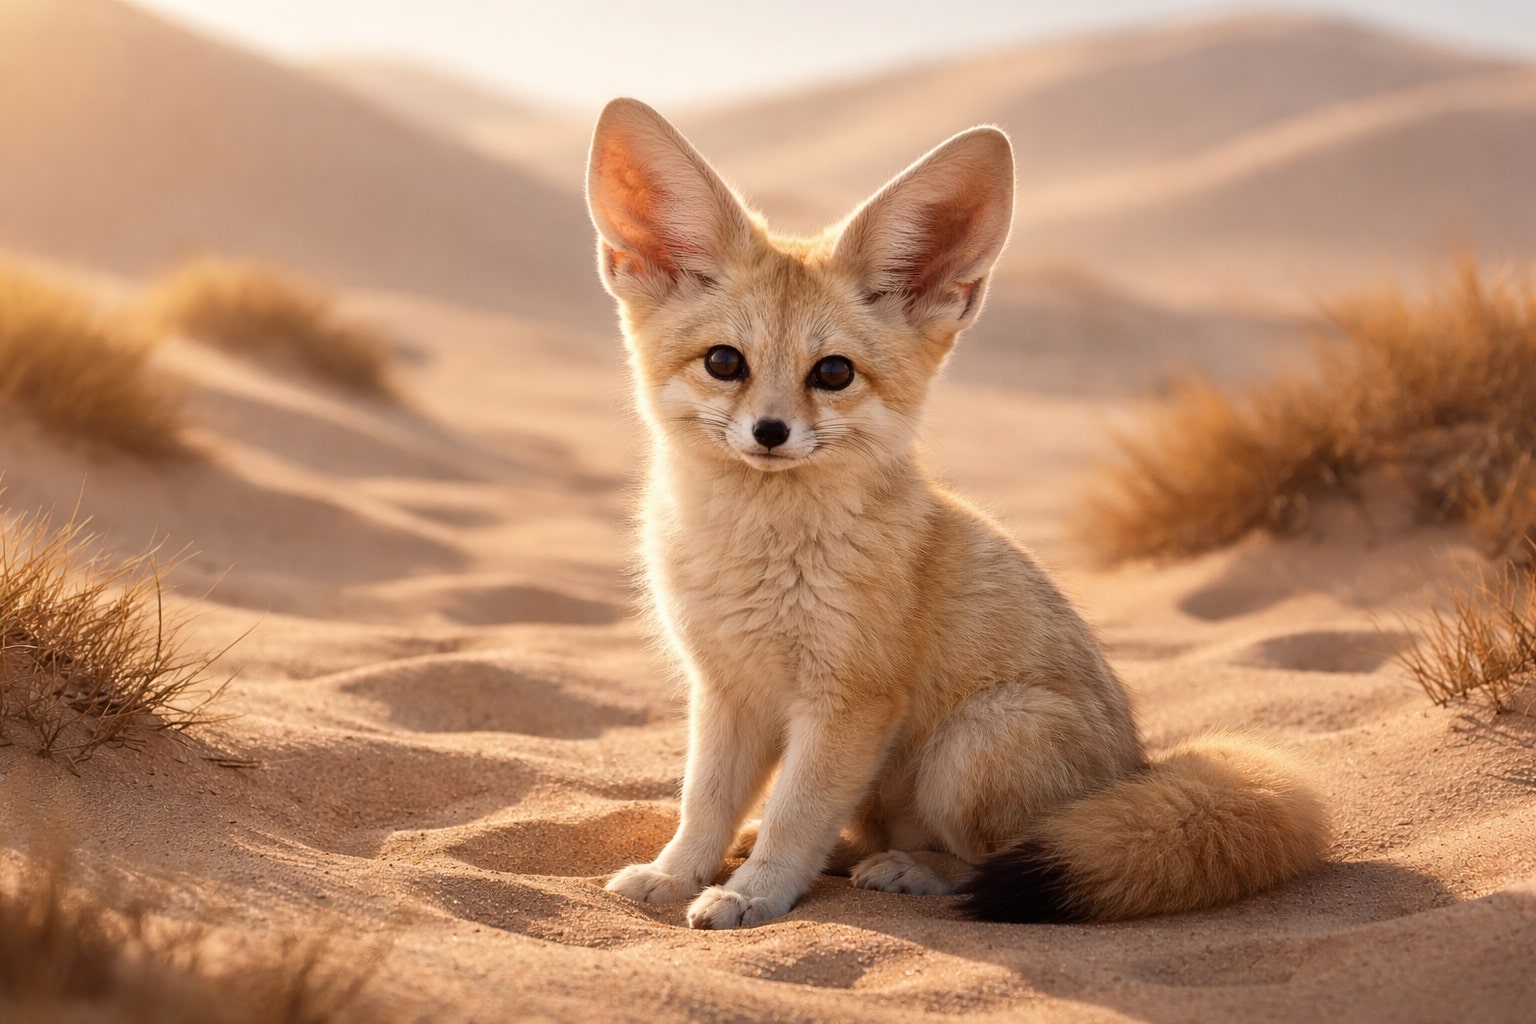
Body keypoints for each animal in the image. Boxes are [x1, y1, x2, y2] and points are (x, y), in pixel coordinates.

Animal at [586, 97, 1329, 930]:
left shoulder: (848, 703)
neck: (758, 554)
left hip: (971, 746)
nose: (770, 433)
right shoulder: (726, 692)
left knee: (989, 859)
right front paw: (675, 873)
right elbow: (705, 805)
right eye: (724, 362)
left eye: (833, 373)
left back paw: (912, 869)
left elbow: (794, 816)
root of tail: (1139, 769)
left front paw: (754, 894)